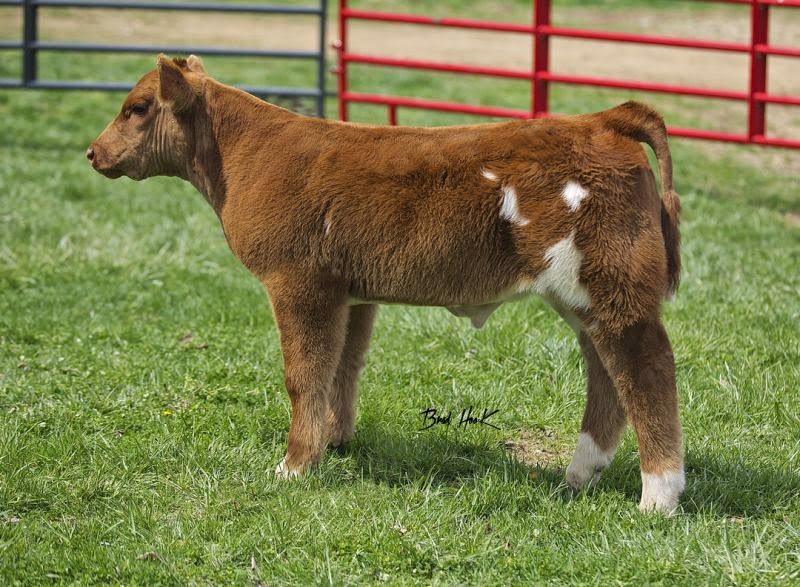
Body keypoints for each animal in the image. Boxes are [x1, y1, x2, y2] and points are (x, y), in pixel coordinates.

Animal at [87, 54, 684, 514]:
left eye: (136, 108)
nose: (92, 152)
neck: (244, 158)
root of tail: (601, 120)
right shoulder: (349, 292)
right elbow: (342, 368)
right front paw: (335, 443)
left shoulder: (297, 282)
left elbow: (304, 376)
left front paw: (293, 467)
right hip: (582, 296)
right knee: (606, 375)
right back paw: (579, 475)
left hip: (613, 287)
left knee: (645, 371)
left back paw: (657, 497)